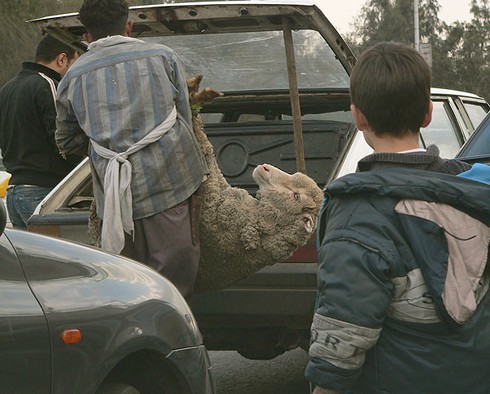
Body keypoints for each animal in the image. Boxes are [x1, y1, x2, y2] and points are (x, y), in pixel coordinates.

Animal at [88, 76, 326, 292]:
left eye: (296, 196)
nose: (264, 167)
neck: (259, 220)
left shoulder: (213, 195)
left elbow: (203, 144)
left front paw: (194, 101)